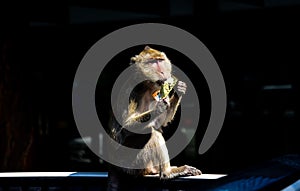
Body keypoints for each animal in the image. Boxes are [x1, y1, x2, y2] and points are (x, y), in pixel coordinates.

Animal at [107, 46, 202, 191]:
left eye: (160, 60)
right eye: (152, 62)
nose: (163, 72)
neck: (146, 85)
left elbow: (161, 121)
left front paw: (179, 89)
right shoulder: (132, 91)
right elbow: (126, 127)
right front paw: (158, 108)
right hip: (130, 163)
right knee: (152, 133)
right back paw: (167, 173)